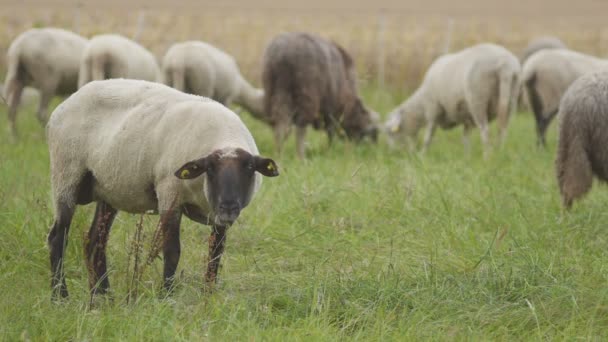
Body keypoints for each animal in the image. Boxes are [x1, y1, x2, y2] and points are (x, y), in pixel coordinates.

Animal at [46, 79, 280, 300]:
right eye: (210, 169)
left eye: (249, 168)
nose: (229, 207)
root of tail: (65, 104)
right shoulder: (169, 196)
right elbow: (172, 251)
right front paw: (166, 296)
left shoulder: (217, 217)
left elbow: (215, 253)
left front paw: (209, 296)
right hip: (65, 174)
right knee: (58, 238)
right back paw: (60, 296)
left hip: (108, 189)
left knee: (95, 241)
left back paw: (103, 296)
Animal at [388, 42, 520, 157]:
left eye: (390, 132)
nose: (393, 154)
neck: (421, 104)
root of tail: (505, 64)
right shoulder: (467, 119)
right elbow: (465, 138)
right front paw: (467, 157)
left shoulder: (433, 109)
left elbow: (428, 137)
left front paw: (422, 156)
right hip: (511, 99)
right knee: (503, 130)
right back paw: (500, 153)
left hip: (478, 99)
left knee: (485, 131)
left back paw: (487, 157)